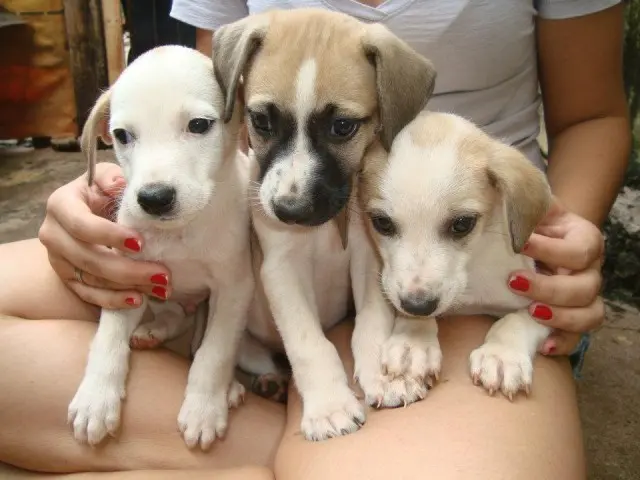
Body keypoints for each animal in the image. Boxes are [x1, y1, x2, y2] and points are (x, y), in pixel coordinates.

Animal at [67, 46, 252, 450]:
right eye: (122, 135)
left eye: (198, 125)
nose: (154, 199)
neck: (179, 233)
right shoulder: (126, 280)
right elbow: (107, 339)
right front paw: (95, 398)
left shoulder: (234, 289)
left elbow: (214, 352)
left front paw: (204, 407)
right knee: (173, 314)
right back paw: (153, 330)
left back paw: (227, 387)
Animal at [212, 8, 438, 442]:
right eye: (261, 120)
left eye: (343, 127)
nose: (289, 210)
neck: (324, 231)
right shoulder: (281, 268)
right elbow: (308, 343)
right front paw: (330, 407)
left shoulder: (369, 261)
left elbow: (371, 325)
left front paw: (383, 377)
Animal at [356, 111, 556, 402]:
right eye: (382, 222)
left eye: (462, 224)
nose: (418, 306)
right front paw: (413, 343)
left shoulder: (543, 302)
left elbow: (518, 319)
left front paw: (502, 356)